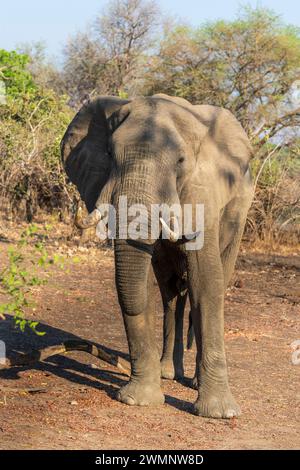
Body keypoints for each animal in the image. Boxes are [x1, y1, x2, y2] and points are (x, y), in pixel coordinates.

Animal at [61, 93, 253, 416]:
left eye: (180, 162)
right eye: (110, 153)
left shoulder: (203, 190)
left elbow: (206, 283)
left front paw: (220, 413)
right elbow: (141, 284)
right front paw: (138, 400)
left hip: (238, 216)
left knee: (211, 277)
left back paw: (193, 382)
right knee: (170, 290)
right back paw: (168, 374)